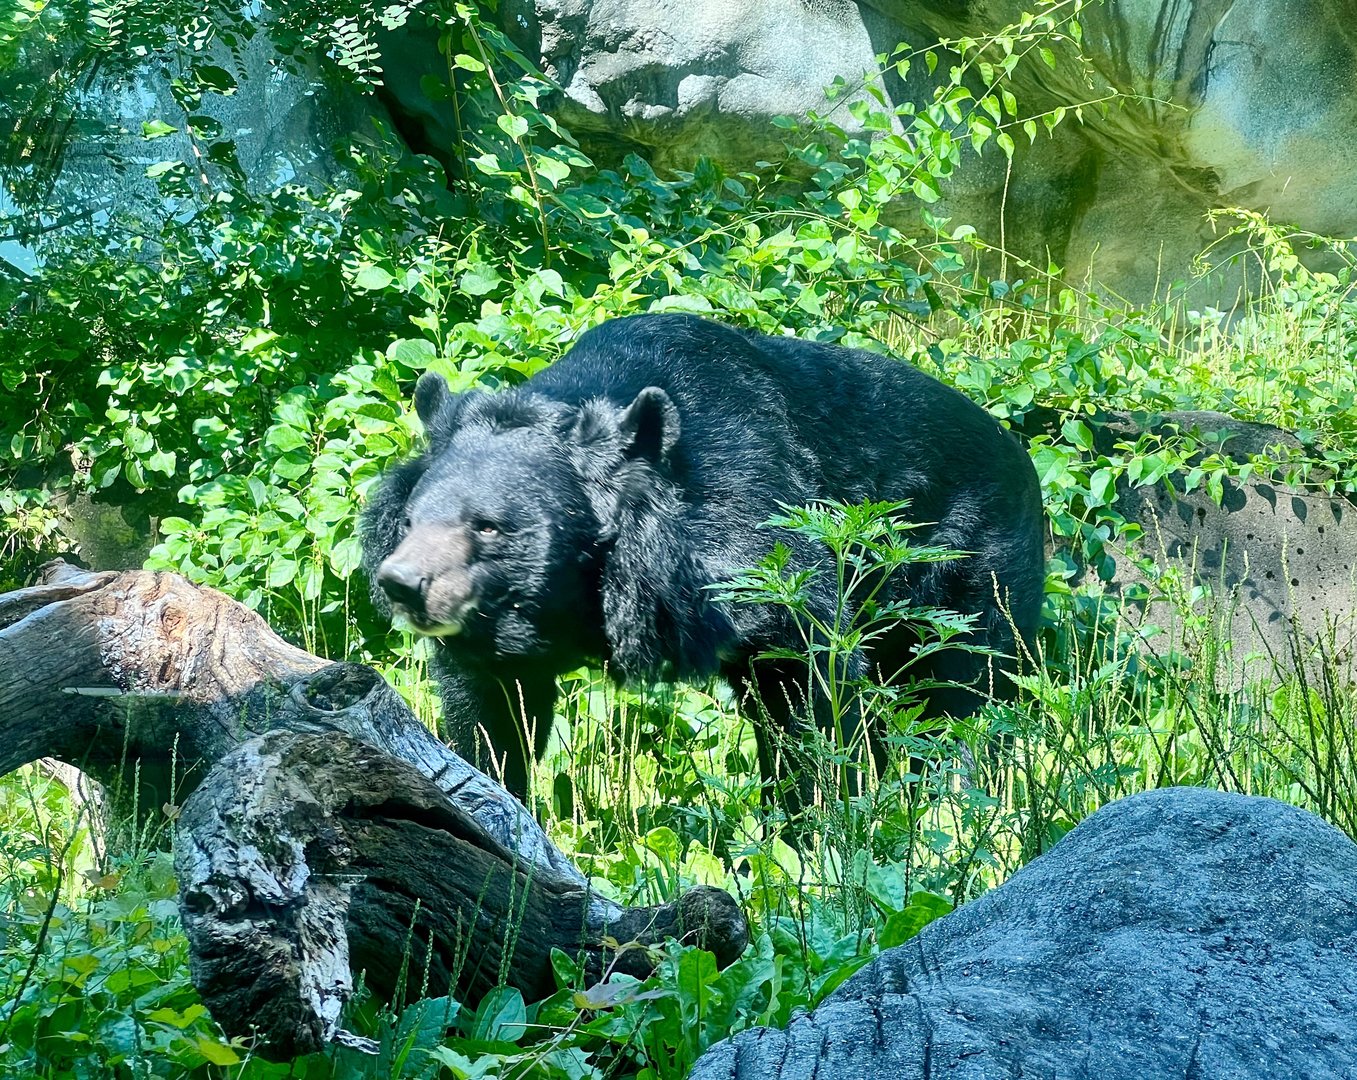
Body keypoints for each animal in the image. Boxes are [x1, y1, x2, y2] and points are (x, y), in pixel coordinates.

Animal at [361, 313, 1046, 805]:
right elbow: (493, 712)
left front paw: (814, 820)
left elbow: (805, 681)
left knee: (963, 691)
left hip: (968, 570)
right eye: (410, 521)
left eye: (488, 526)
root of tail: (1020, 451)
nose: (403, 585)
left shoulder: (751, 524)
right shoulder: (497, 635)